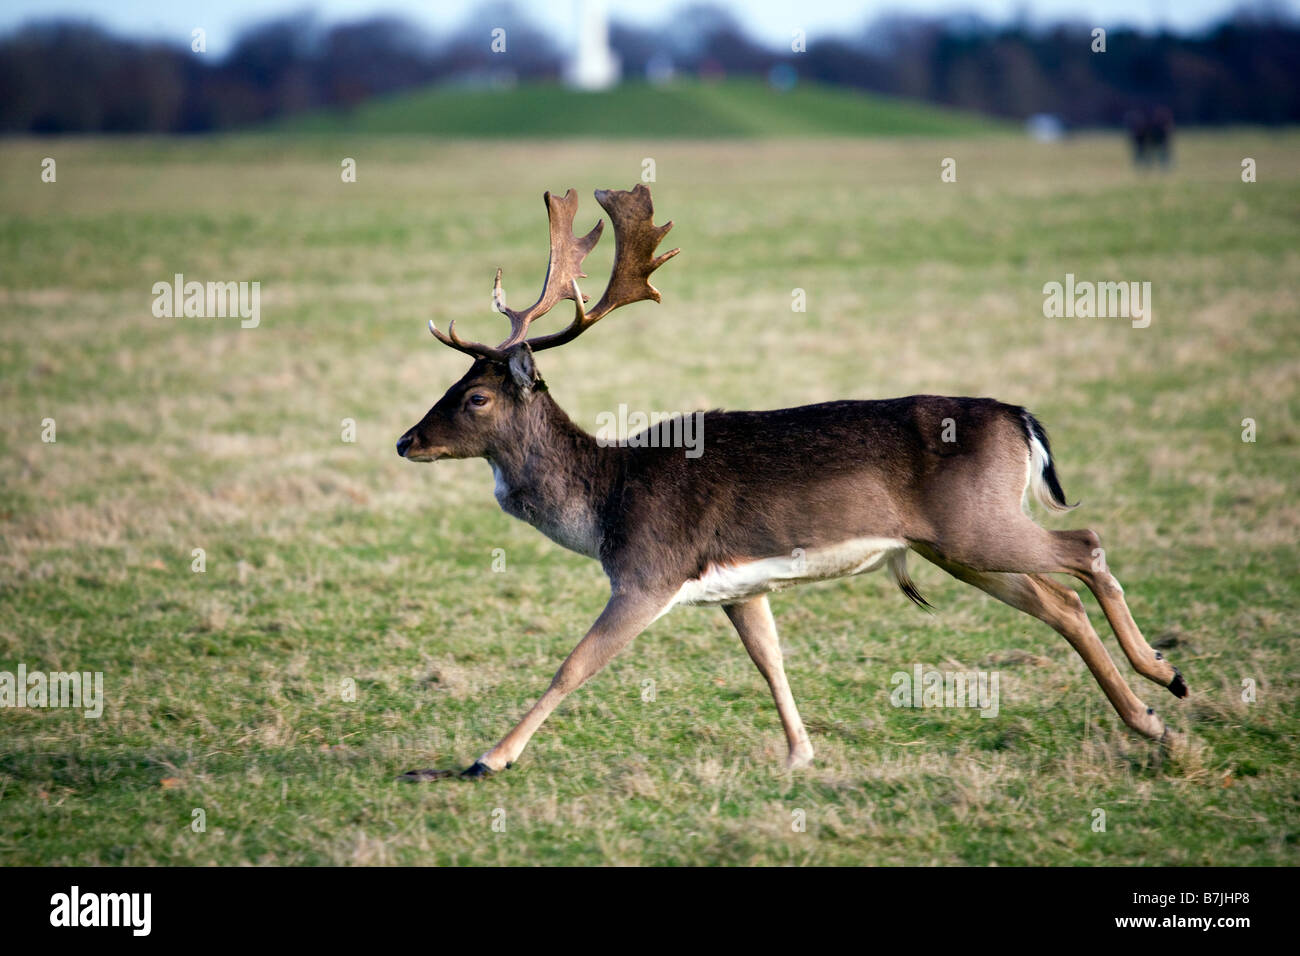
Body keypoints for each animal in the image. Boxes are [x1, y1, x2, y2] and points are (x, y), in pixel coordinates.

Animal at [395, 184, 1188, 780]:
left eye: (476, 397)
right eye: (452, 382)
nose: (406, 440)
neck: (606, 502)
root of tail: (1021, 419)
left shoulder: (648, 571)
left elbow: (574, 664)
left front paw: (488, 758)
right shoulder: (740, 587)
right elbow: (771, 662)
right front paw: (801, 753)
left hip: (977, 526)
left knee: (1085, 545)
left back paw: (1162, 676)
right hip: (955, 546)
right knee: (1059, 601)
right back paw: (1155, 718)